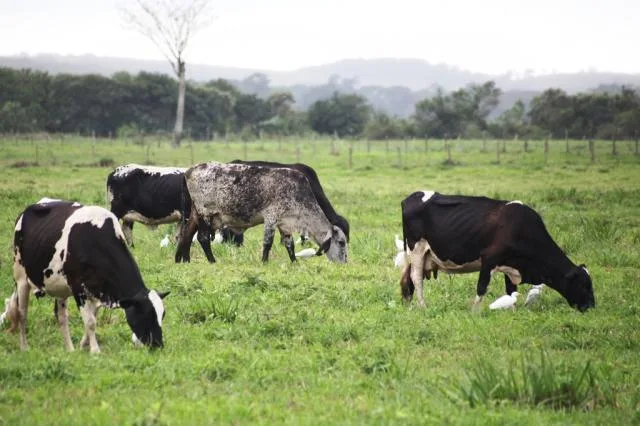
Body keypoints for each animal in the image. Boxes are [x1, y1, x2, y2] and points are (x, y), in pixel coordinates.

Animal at [5, 198, 170, 352]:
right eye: (146, 314)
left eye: (162, 315)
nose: (158, 345)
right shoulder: (78, 288)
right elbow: (90, 322)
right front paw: (95, 350)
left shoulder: (98, 290)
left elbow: (92, 317)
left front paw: (82, 345)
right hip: (20, 278)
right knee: (22, 313)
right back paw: (24, 347)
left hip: (59, 287)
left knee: (61, 317)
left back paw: (70, 350)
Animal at [107, 164, 242, 250]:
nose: (239, 245)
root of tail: (116, 171)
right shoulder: (188, 214)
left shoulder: (182, 218)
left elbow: (178, 236)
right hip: (116, 210)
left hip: (128, 215)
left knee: (127, 230)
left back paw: (132, 248)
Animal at [176, 161, 350, 262]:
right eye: (341, 242)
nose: (344, 262)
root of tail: (190, 171)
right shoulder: (271, 218)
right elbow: (268, 243)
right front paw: (264, 262)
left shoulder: (285, 224)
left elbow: (289, 245)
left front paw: (294, 262)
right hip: (205, 214)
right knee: (203, 238)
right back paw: (212, 261)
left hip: (195, 215)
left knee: (186, 235)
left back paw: (182, 260)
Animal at [400, 191, 596, 312]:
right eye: (583, 285)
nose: (591, 307)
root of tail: (411, 197)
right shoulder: (489, 259)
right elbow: (481, 287)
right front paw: (475, 311)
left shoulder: (511, 266)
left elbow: (510, 291)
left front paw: (510, 309)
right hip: (416, 251)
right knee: (416, 279)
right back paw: (423, 306)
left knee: (408, 281)